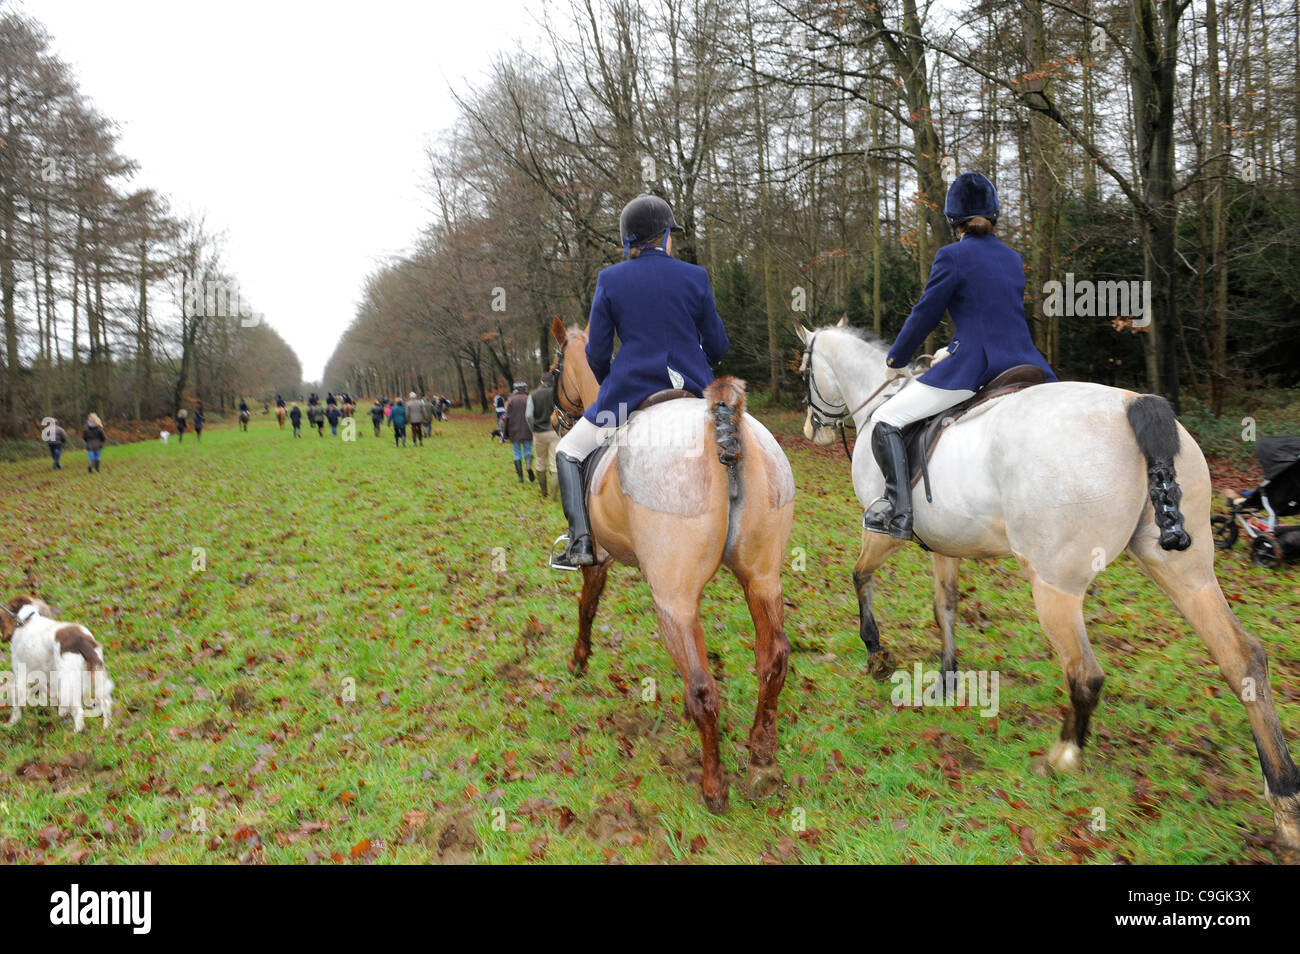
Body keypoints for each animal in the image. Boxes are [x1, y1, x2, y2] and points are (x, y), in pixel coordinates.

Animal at [0, 597, 113, 733]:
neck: (27, 620)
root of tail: (83, 641)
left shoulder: (20, 669)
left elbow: (18, 699)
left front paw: (11, 723)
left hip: (69, 679)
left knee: (78, 710)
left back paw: (76, 732)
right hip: (95, 675)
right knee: (106, 702)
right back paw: (106, 728)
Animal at [546, 317, 795, 811]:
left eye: (554, 367)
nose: (550, 419)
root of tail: (722, 425)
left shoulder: (600, 559)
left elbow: (587, 606)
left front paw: (579, 660)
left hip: (674, 598)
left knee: (703, 686)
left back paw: (714, 785)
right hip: (762, 578)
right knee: (772, 659)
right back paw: (762, 758)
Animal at [800, 321, 1300, 857]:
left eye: (804, 369)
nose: (812, 430)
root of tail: (1137, 405)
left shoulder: (882, 529)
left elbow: (860, 576)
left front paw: (876, 652)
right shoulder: (946, 542)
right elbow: (945, 607)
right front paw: (947, 677)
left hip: (1055, 584)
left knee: (1085, 673)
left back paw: (1062, 756)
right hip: (1185, 570)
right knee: (1242, 658)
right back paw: (1284, 798)